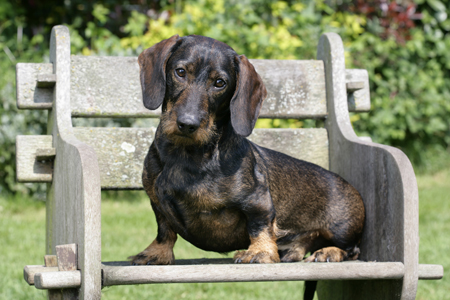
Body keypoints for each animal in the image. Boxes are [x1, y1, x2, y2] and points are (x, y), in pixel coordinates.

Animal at [128, 34, 364, 264]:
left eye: (220, 83)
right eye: (180, 72)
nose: (187, 123)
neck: (186, 154)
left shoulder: (258, 201)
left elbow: (259, 227)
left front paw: (260, 252)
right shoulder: (157, 202)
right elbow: (165, 229)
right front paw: (157, 253)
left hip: (340, 230)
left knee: (352, 250)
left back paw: (329, 252)